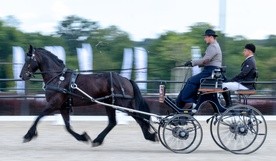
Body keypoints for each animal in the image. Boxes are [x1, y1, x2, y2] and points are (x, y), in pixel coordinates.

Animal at [19, 44, 157, 147]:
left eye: (28, 59)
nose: (21, 75)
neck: (59, 78)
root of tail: (126, 79)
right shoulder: (63, 107)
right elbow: (67, 126)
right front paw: (83, 137)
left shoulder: (54, 104)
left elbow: (38, 117)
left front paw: (28, 135)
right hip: (110, 104)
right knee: (113, 122)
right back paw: (97, 140)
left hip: (123, 104)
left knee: (139, 118)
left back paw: (150, 136)